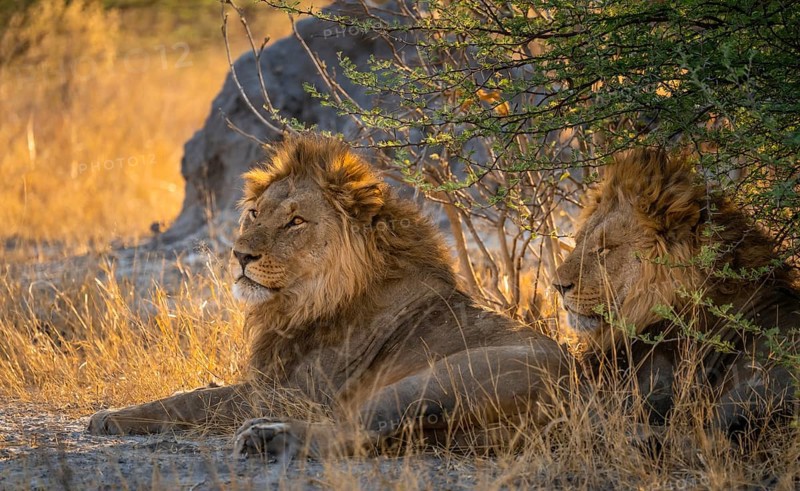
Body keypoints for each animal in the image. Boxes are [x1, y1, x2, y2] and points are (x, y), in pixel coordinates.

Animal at [88, 135, 569, 460]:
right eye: (254, 213)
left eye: (295, 221)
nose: (239, 254)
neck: (304, 300)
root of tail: (580, 394)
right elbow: (202, 389)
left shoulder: (290, 393)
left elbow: (197, 398)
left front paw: (110, 416)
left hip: (434, 380)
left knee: (351, 431)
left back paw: (267, 438)